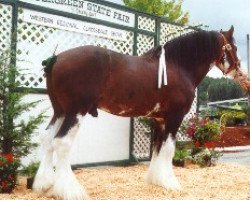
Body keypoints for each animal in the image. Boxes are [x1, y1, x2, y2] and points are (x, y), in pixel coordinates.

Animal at [32, 26, 239, 200]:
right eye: (234, 47)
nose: (237, 68)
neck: (178, 67)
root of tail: (57, 58)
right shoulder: (175, 117)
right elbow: (169, 149)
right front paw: (171, 182)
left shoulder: (160, 120)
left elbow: (157, 147)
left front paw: (157, 180)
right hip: (76, 112)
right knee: (62, 143)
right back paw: (70, 190)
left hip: (60, 111)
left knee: (47, 139)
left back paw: (44, 184)